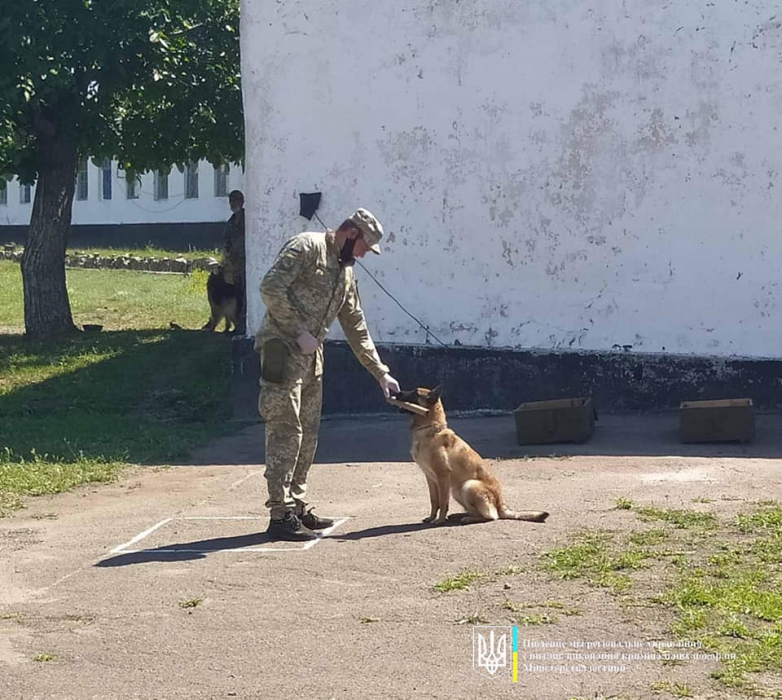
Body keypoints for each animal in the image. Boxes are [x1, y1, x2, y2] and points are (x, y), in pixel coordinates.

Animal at [392, 386, 552, 528]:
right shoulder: (430, 478)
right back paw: (460, 515)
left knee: (491, 516)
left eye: (416, 393)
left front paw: (440, 520)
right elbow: (434, 500)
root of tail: (501, 504)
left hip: (468, 485)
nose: (397, 393)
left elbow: (443, 502)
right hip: (456, 491)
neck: (431, 430)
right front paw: (432, 517)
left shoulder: (442, 476)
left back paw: (468, 518)